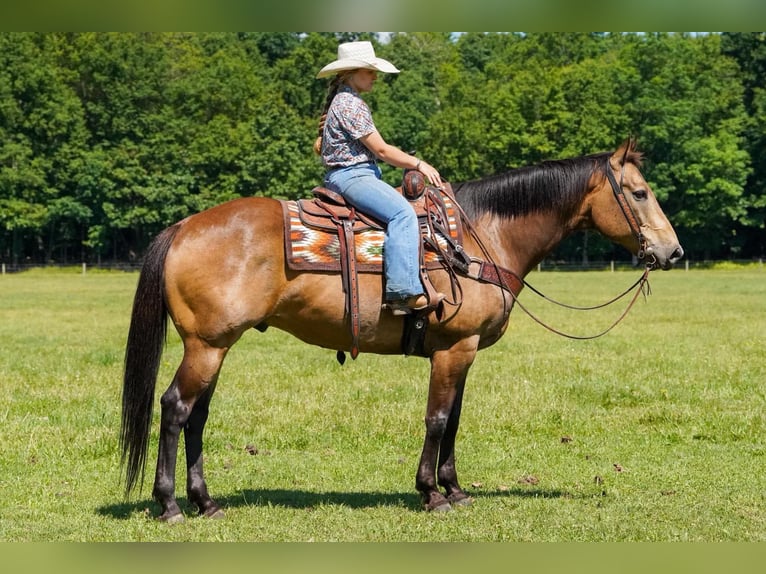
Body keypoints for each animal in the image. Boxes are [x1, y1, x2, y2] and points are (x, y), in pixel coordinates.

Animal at [120, 138, 683, 522]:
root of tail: (183, 227)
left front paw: (454, 488)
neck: (481, 239)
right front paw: (432, 493)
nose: (673, 252)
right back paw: (169, 504)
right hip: (206, 346)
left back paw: (206, 501)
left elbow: (454, 421)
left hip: (216, 347)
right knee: (176, 409)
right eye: (639, 192)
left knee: (197, 417)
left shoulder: (463, 351)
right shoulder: (453, 350)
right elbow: (437, 419)